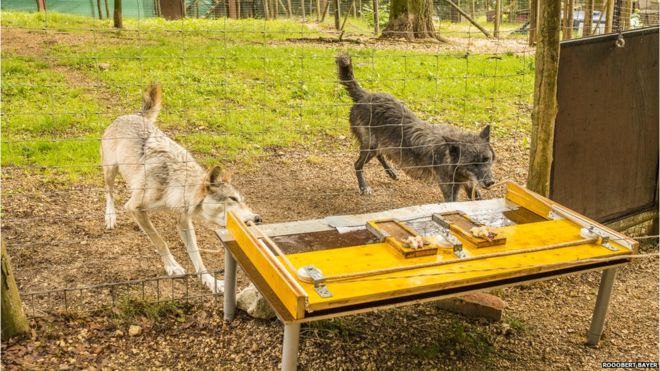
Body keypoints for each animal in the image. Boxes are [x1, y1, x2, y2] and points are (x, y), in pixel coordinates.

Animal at [100, 83, 260, 294]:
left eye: (242, 200)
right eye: (233, 199)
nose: (258, 218)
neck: (176, 184)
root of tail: (133, 115)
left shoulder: (184, 220)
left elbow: (195, 253)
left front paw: (209, 281)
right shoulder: (134, 207)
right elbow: (160, 240)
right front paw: (172, 266)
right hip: (111, 171)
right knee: (108, 192)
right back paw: (110, 216)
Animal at [336, 53, 496, 201]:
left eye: (486, 159)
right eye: (472, 163)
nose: (490, 182)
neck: (448, 155)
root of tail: (365, 95)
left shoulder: (468, 183)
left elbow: (475, 196)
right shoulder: (449, 190)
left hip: (376, 146)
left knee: (380, 154)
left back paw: (392, 173)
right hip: (370, 146)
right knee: (357, 165)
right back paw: (364, 187)